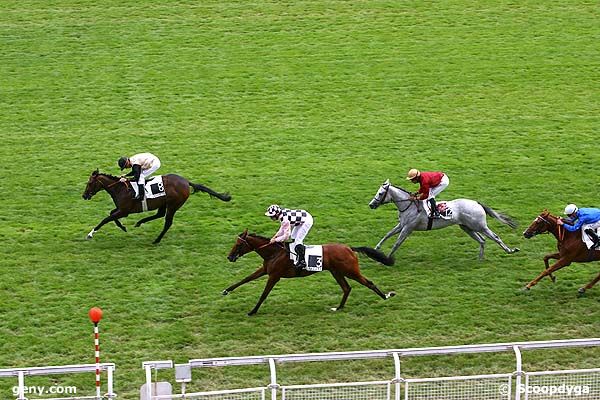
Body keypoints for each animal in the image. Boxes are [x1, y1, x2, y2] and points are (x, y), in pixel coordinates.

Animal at [80, 170, 230, 244]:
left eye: (90, 183)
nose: (84, 195)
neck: (120, 189)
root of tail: (186, 182)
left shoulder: (124, 211)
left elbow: (106, 219)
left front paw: (90, 234)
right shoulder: (121, 210)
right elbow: (111, 214)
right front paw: (123, 227)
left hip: (173, 205)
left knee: (167, 222)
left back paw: (156, 240)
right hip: (164, 203)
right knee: (159, 215)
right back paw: (140, 222)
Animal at [223, 231, 396, 316]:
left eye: (238, 244)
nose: (229, 257)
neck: (274, 252)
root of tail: (349, 248)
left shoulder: (274, 276)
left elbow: (264, 294)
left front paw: (253, 311)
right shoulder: (265, 270)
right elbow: (245, 279)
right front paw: (226, 290)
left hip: (350, 271)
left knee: (368, 283)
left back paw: (386, 296)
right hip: (337, 272)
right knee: (347, 288)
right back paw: (338, 308)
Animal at [368, 180, 516, 260]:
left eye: (380, 193)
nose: (371, 204)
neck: (409, 205)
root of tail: (477, 203)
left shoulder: (408, 228)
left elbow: (397, 243)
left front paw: (387, 258)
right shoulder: (401, 225)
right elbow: (387, 235)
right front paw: (376, 249)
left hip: (480, 226)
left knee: (495, 237)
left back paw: (510, 250)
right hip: (467, 227)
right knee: (482, 240)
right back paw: (480, 258)